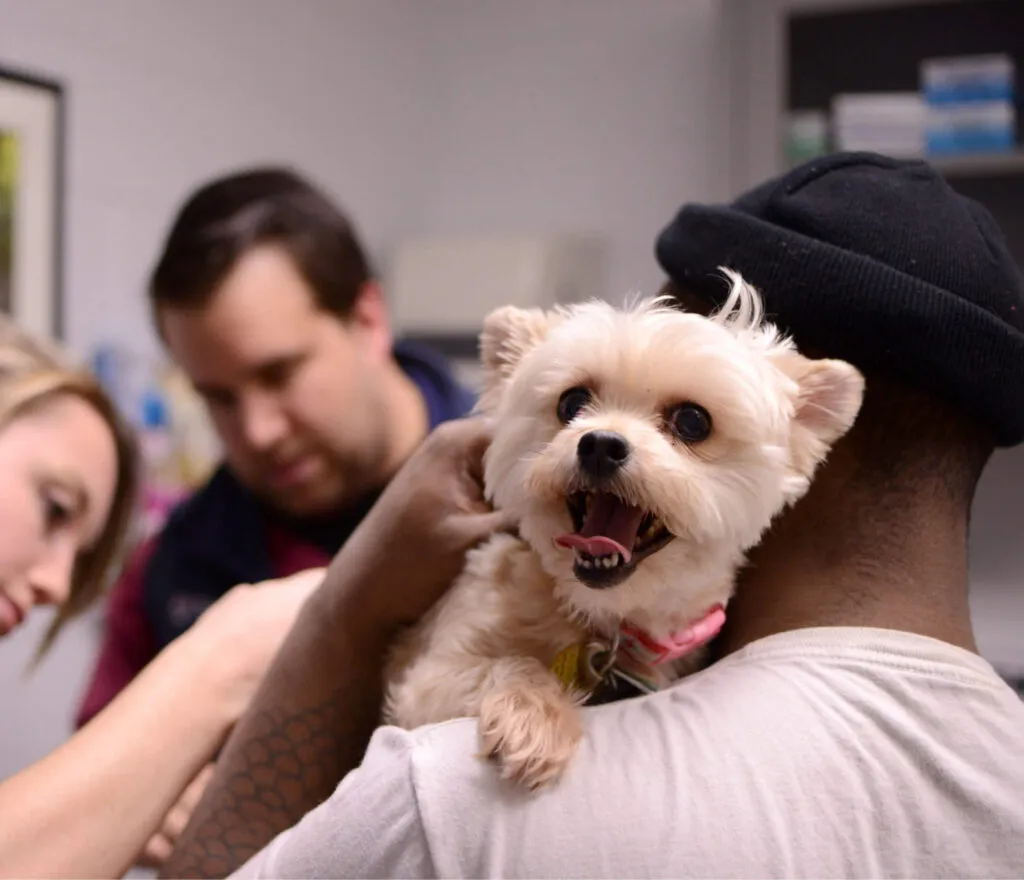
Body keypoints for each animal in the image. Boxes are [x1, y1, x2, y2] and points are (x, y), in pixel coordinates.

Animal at [385, 270, 864, 790]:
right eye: (572, 403)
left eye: (693, 421)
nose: (599, 444)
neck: (603, 619)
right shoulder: (428, 680)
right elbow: (512, 662)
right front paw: (533, 717)